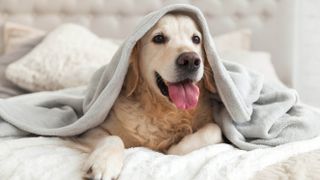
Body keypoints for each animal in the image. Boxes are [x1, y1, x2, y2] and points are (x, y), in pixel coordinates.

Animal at [68, 13, 222, 180]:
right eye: (159, 38)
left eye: (196, 39)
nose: (191, 60)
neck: (165, 111)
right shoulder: (87, 131)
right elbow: (112, 137)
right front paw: (103, 163)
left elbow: (215, 130)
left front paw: (174, 148)